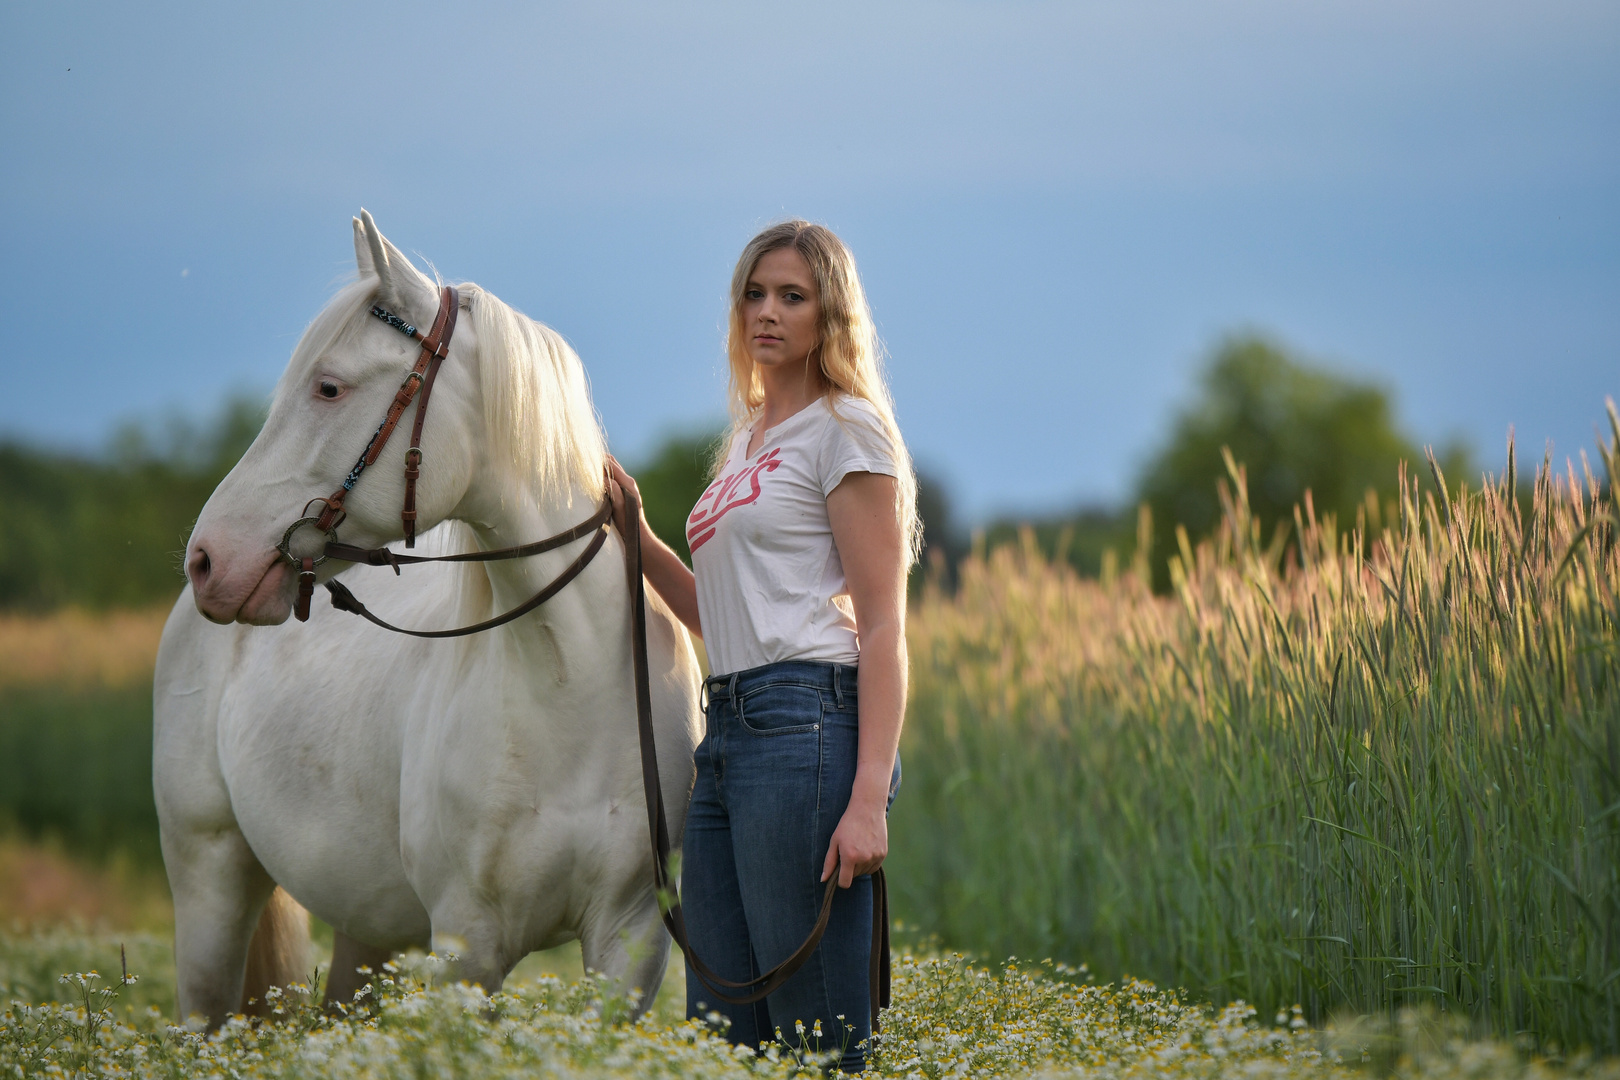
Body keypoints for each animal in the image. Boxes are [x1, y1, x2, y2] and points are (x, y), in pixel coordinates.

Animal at [156, 208, 703, 1023]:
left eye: (328, 387)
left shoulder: (630, 943)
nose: (208, 561)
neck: (568, 688)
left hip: (365, 930)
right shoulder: (466, 949)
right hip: (210, 882)